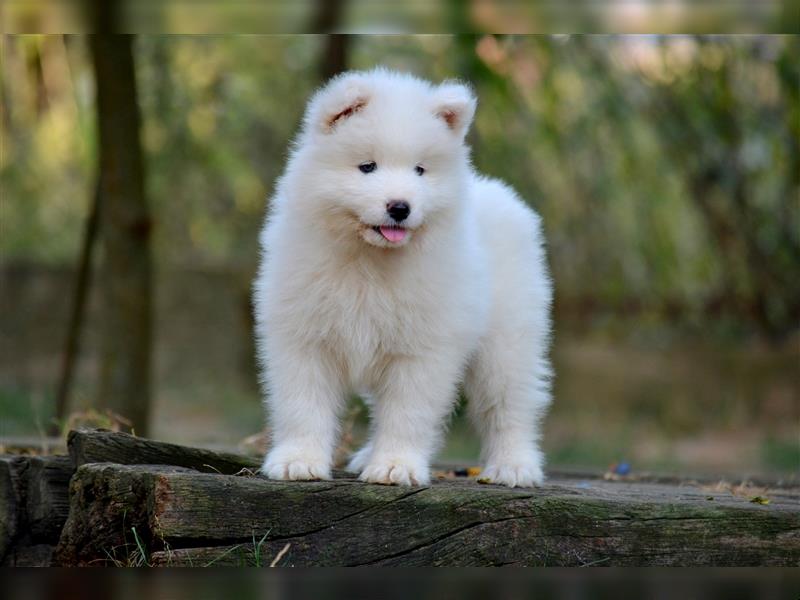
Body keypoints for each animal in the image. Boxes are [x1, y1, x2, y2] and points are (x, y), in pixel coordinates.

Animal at [253, 68, 552, 488]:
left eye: (420, 170)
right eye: (367, 167)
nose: (400, 207)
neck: (369, 262)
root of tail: (498, 192)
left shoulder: (422, 348)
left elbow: (407, 412)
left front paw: (395, 466)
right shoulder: (302, 337)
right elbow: (302, 403)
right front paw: (298, 461)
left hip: (509, 341)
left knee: (510, 405)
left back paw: (514, 466)